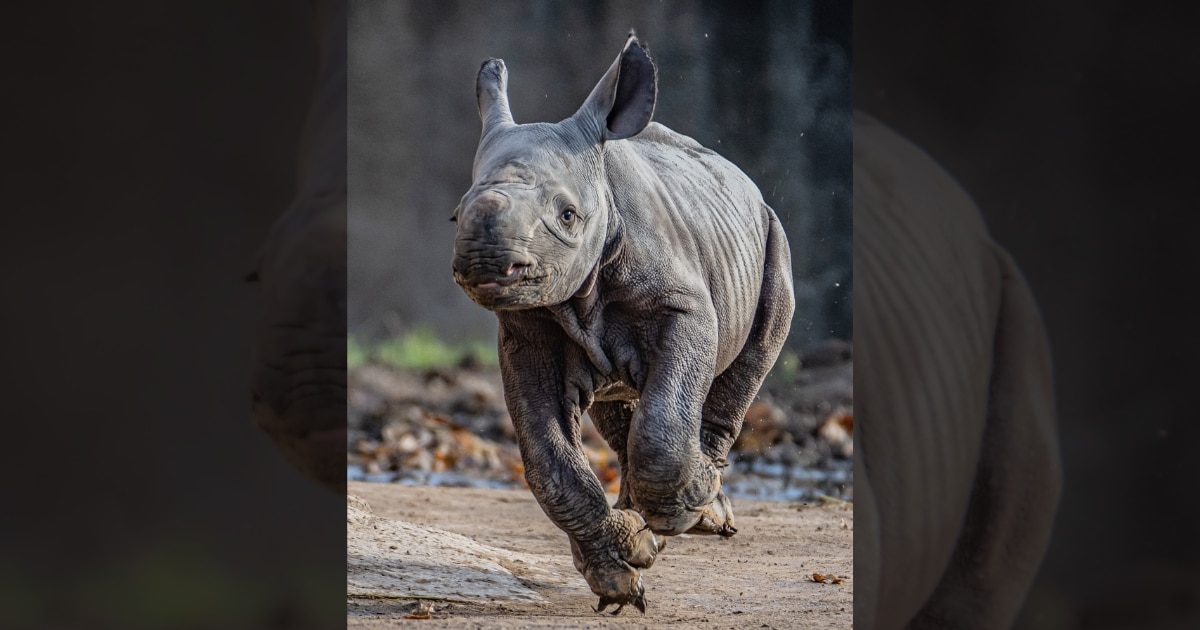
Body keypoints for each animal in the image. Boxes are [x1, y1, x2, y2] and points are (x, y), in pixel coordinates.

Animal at [451, 35, 796, 614]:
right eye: (456, 216)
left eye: (567, 216)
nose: (484, 261)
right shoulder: (525, 330)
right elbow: (549, 462)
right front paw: (622, 570)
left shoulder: (685, 308)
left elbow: (661, 425)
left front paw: (683, 507)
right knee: (619, 404)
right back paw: (645, 526)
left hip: (772, 232)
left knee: (751, 351)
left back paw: (705, 507)